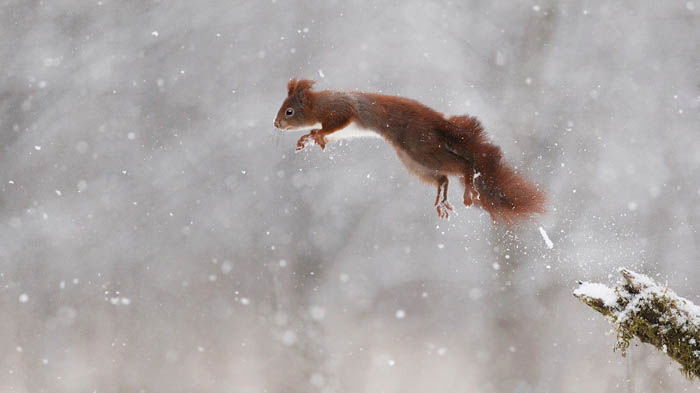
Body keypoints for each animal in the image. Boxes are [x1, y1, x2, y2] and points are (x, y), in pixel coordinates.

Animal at [274, 79, 548, 224]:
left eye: (289, 111)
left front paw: (315, 134)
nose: (276, 124)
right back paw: (441, 201)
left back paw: (468, 191)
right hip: (414, 162)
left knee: (463, 165)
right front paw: (307, 139)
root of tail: (439, 123)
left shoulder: (340, 109)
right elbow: (325, 135)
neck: (316, 106)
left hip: (421, 147)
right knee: (443, 178)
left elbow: (336, 122)